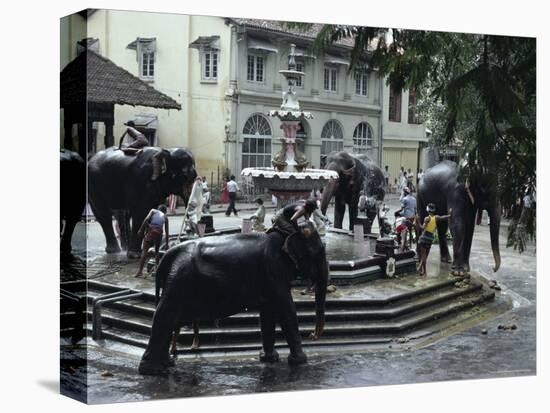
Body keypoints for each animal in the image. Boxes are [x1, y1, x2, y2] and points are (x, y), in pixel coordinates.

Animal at [138, 222, 330, 374]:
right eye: (321, 252)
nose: (312, 335)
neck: (285, 234)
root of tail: (167, 255)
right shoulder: (274, 270)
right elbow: (286, 309)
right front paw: (300, 362)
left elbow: (267, 312)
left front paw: (269, 359)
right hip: (179, 280)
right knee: (164, 316)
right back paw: (154, 370)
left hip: (175, 280)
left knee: (168, 320)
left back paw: (167, 364)